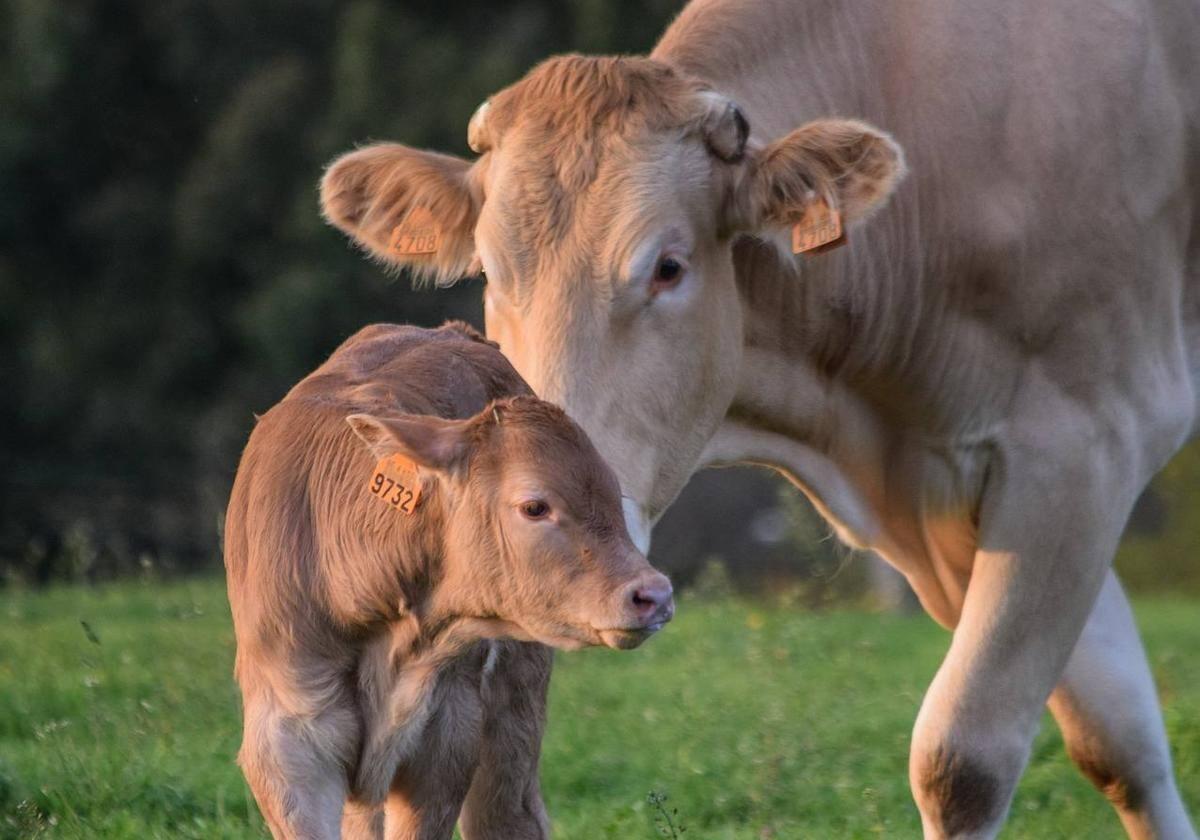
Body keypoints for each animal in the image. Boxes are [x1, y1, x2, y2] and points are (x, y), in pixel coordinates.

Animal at [223, 324, 676, 840]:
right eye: (534, 506)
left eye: (612, 493)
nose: (653, 594)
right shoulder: (287, 745)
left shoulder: (447, 738)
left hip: (514, 704)